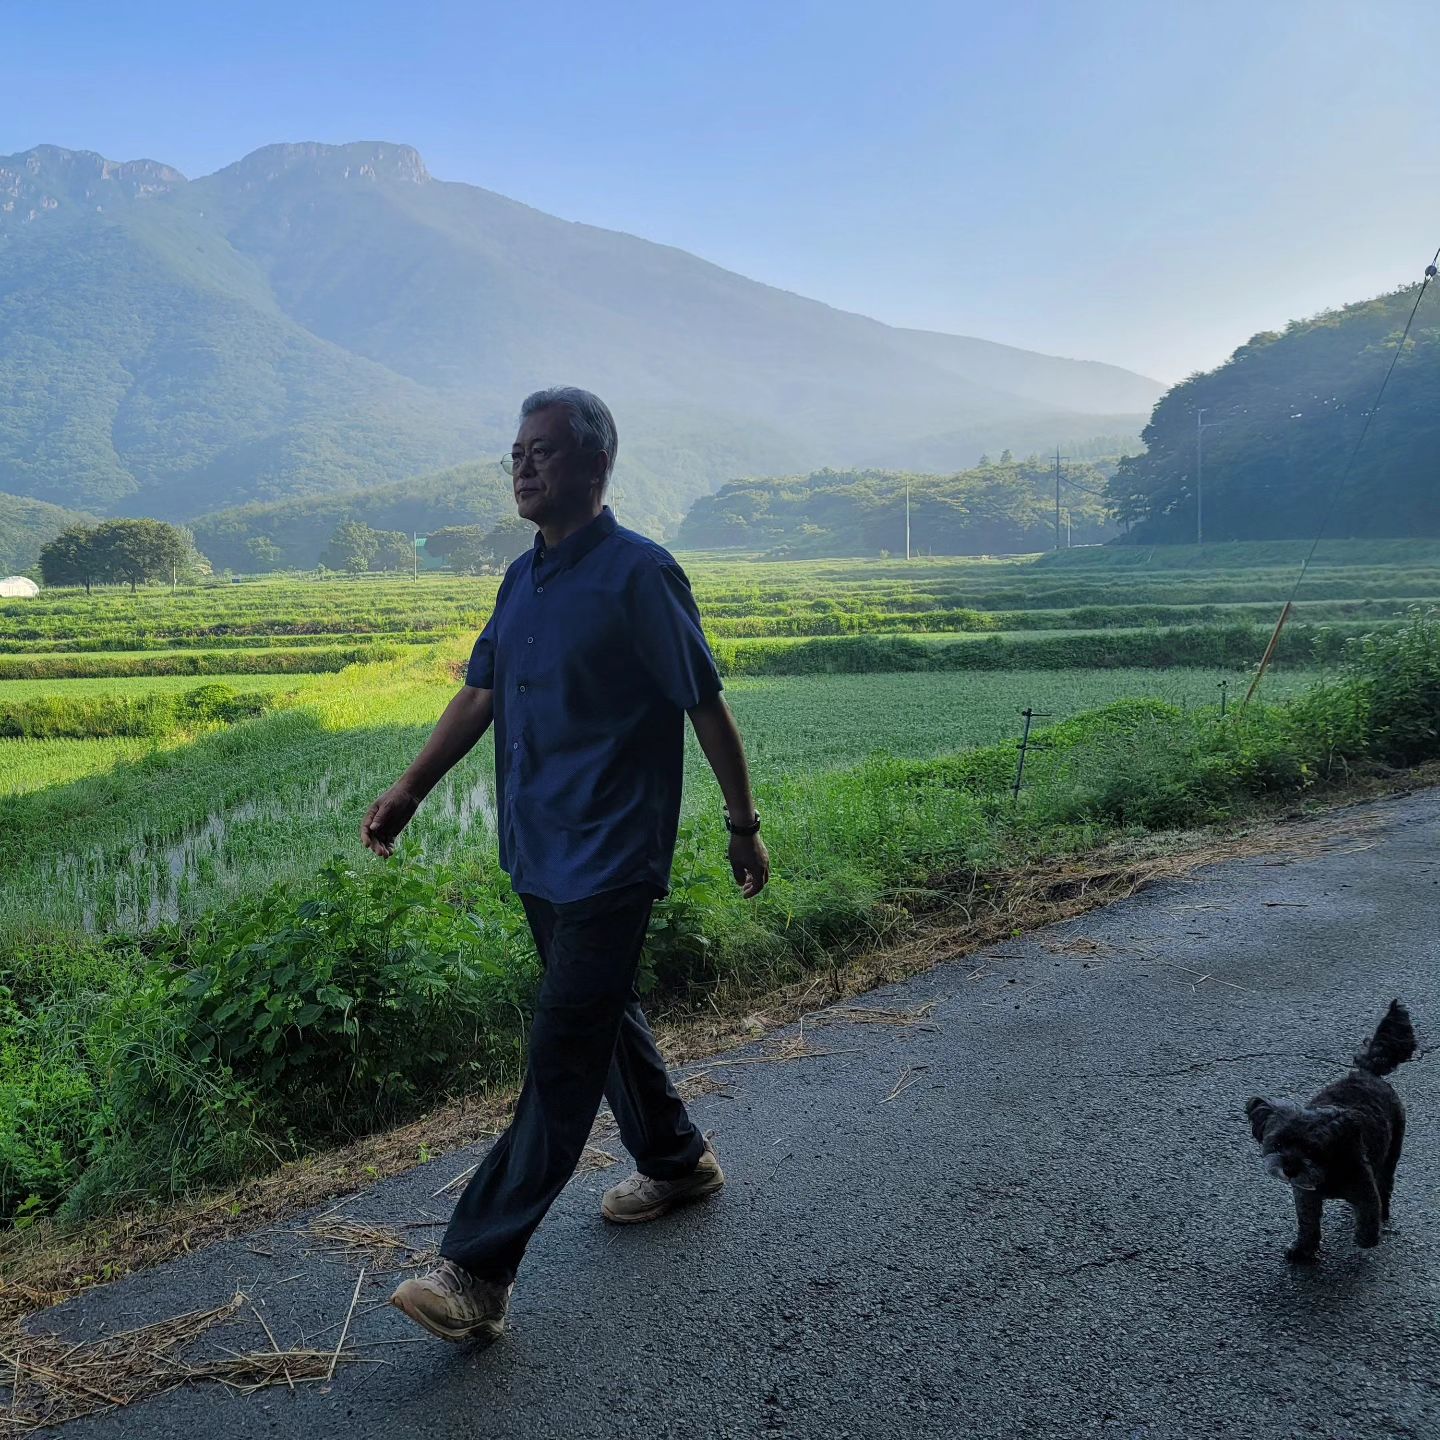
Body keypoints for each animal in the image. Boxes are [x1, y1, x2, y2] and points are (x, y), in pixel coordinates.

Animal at [1249, 1002, 1416, 1261]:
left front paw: (1365, 1239)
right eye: (1276, 1144)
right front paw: (1303, 1249)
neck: (1326, 1172)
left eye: (1312, 1149)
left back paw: (1384, 1213)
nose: (1289, 1169)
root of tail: (1367, 1072)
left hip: (1393, 1148)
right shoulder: (1306, 1196)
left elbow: (1369, 1216)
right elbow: (1308, 1224)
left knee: (1385, 1183)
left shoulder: (1364, 1190)